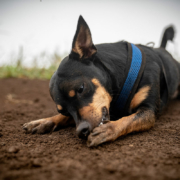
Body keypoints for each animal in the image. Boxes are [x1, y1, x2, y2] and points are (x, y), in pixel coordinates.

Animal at [23, 15, 179, 147]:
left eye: (81, 89)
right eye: (64, 111)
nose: (81, 131)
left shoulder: (148, 111)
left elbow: (127, 120)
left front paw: (108, 129)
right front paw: (44, 121)